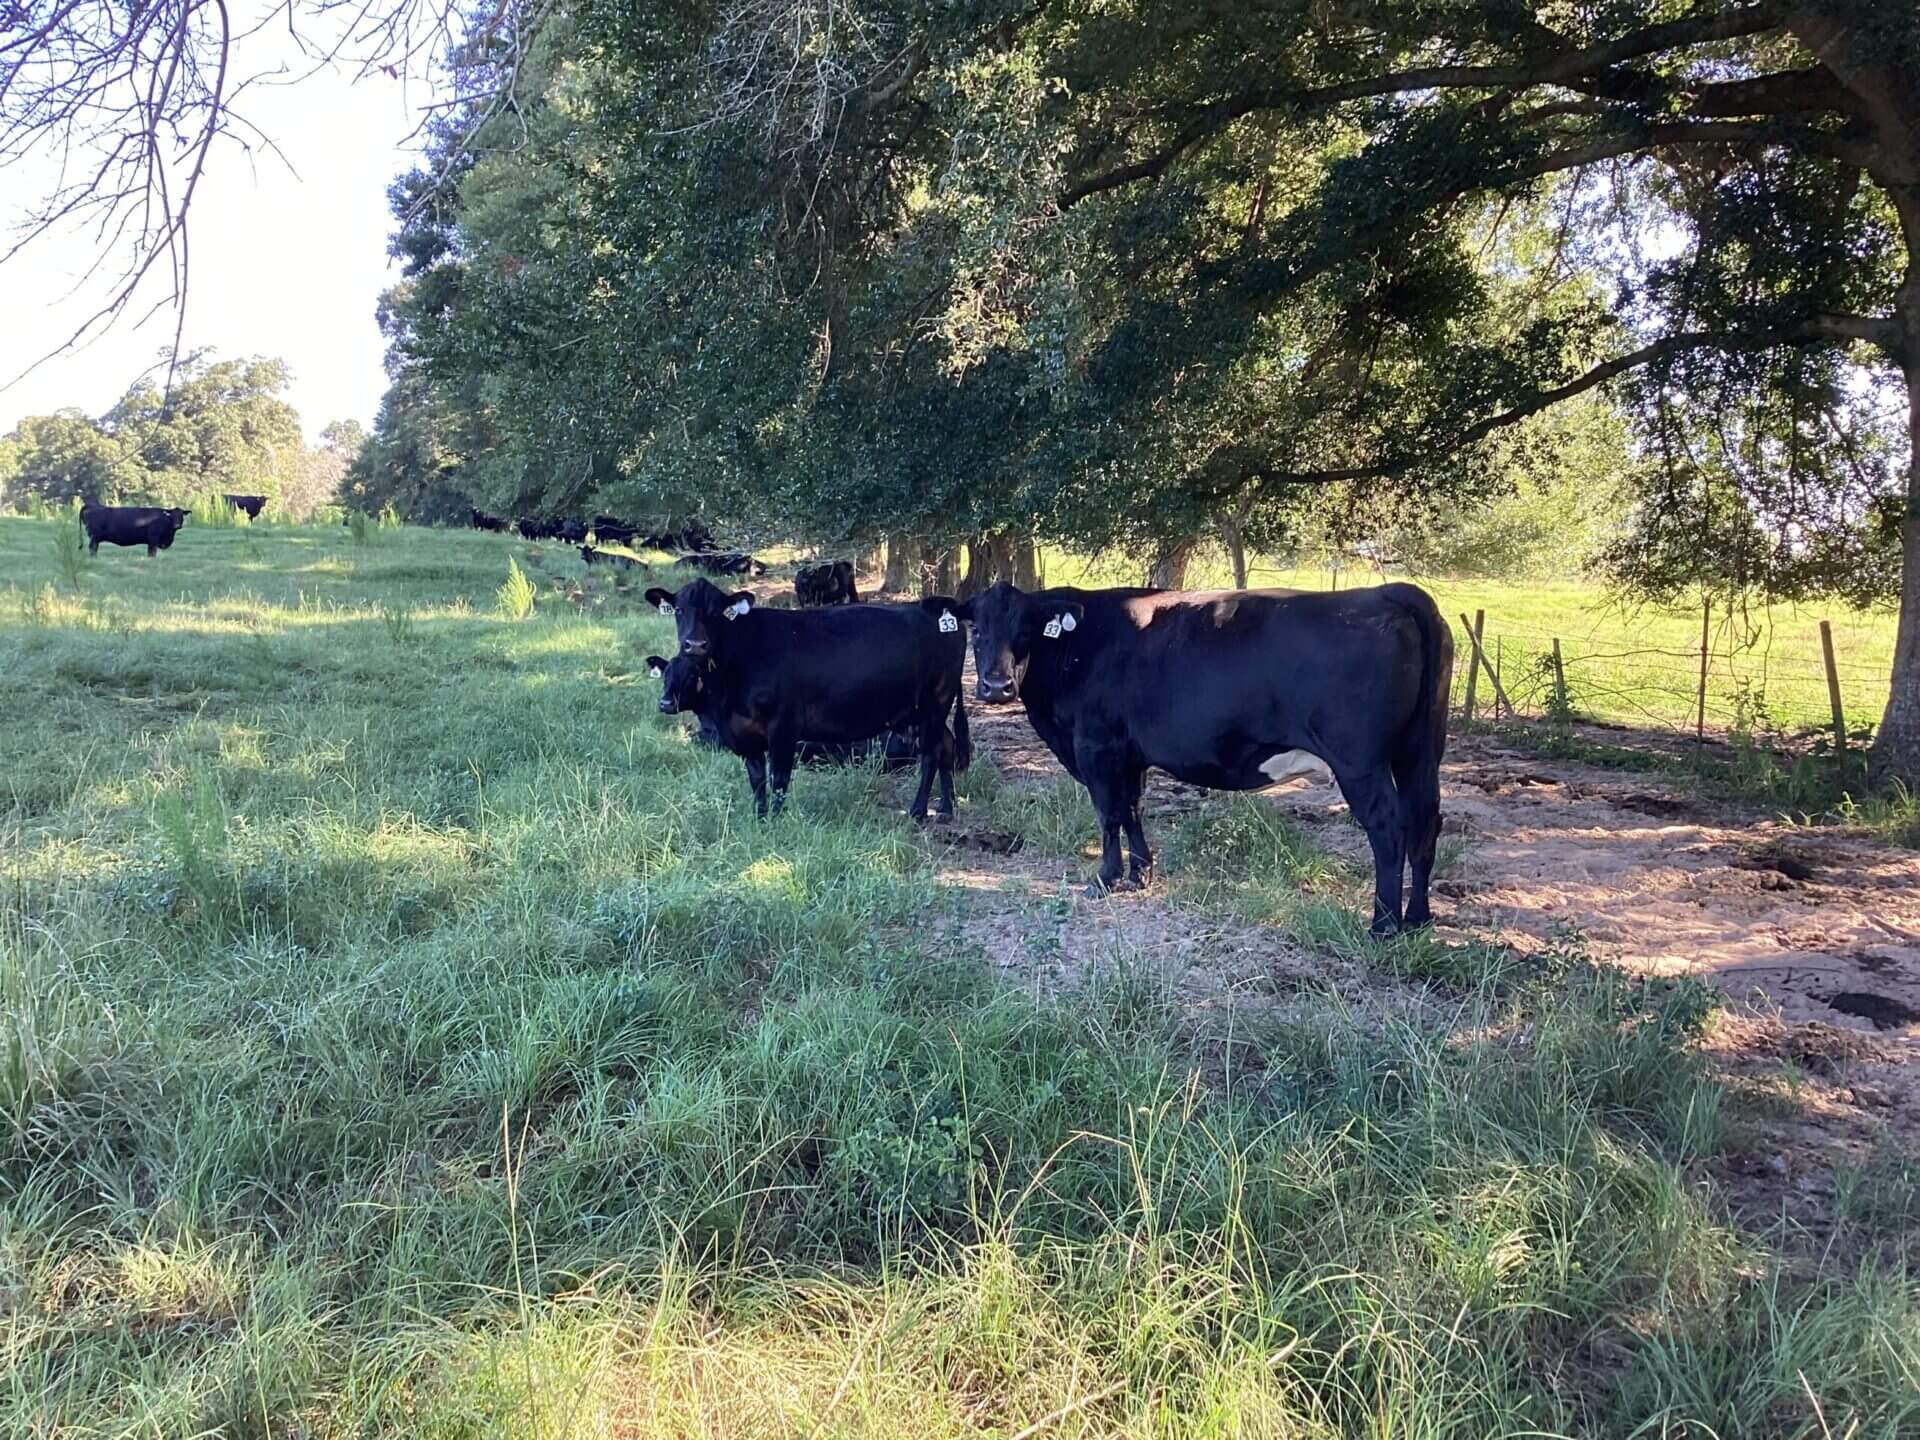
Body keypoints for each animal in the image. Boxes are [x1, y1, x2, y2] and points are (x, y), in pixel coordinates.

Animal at [644, 578, 971, 818]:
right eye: (679, 610)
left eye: (716, 611)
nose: (695, 644)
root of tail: (939, 608)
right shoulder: (745, 733)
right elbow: (757, 780)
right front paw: (760, 818)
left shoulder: (783, 726)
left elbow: (778, 778)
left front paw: (775, 821)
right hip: (920, 710)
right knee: (946, 745)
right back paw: (945, 809)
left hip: (936, 702)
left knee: (931, 753)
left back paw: (918, 811)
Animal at [947, 581, 1452, 935]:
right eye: (977, 629)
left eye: (1025, 631)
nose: (996, 687)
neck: (1077, 645)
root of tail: (1388, 592)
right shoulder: (1130, 753)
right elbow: (1132, 810)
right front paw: (1140, 874)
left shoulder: (1095, 746)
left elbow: (1108, 813)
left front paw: (1105, 879)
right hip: (1420, 751)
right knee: (1425, 821)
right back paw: (1417, 919)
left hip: (1359, 762)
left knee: (1389, 827)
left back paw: (1383, 924)